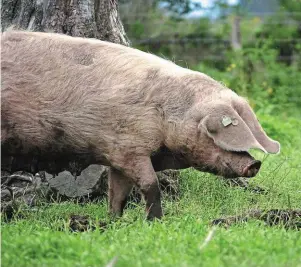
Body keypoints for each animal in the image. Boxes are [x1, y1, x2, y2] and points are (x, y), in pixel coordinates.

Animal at [1, 30, 280, 220]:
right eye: (213, 135)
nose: (255, 164)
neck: (166, 117)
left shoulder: (115, 153)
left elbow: (117, 191)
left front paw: (113, 220)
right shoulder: (129, 148)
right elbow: (150, 184)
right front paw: (155, 221)